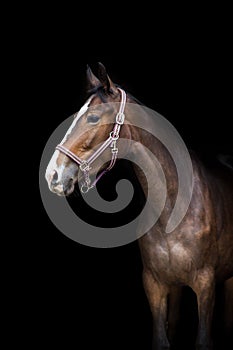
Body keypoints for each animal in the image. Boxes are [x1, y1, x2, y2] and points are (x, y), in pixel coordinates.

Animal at [45, 63, 233, 350]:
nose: (53, 175)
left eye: (93, 118)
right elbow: (161, 338)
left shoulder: (205, 284)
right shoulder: (154, 284)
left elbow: (203, 340)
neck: (173, 210)